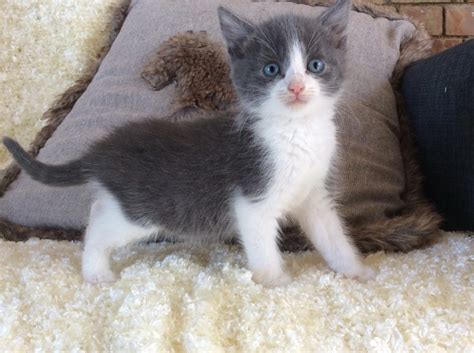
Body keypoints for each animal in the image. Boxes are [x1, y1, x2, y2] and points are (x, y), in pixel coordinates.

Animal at [2, 0, 374, 286]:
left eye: (315, 65)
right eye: (271, 69)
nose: (296, 87)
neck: (296, 131)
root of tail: (103, 150)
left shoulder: (314, 196)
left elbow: (332, 235)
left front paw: (357, 271)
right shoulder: (252, 198)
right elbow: (262, 246)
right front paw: (276, 282)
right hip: (142, 213)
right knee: (97, 226)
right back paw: (95, 271)